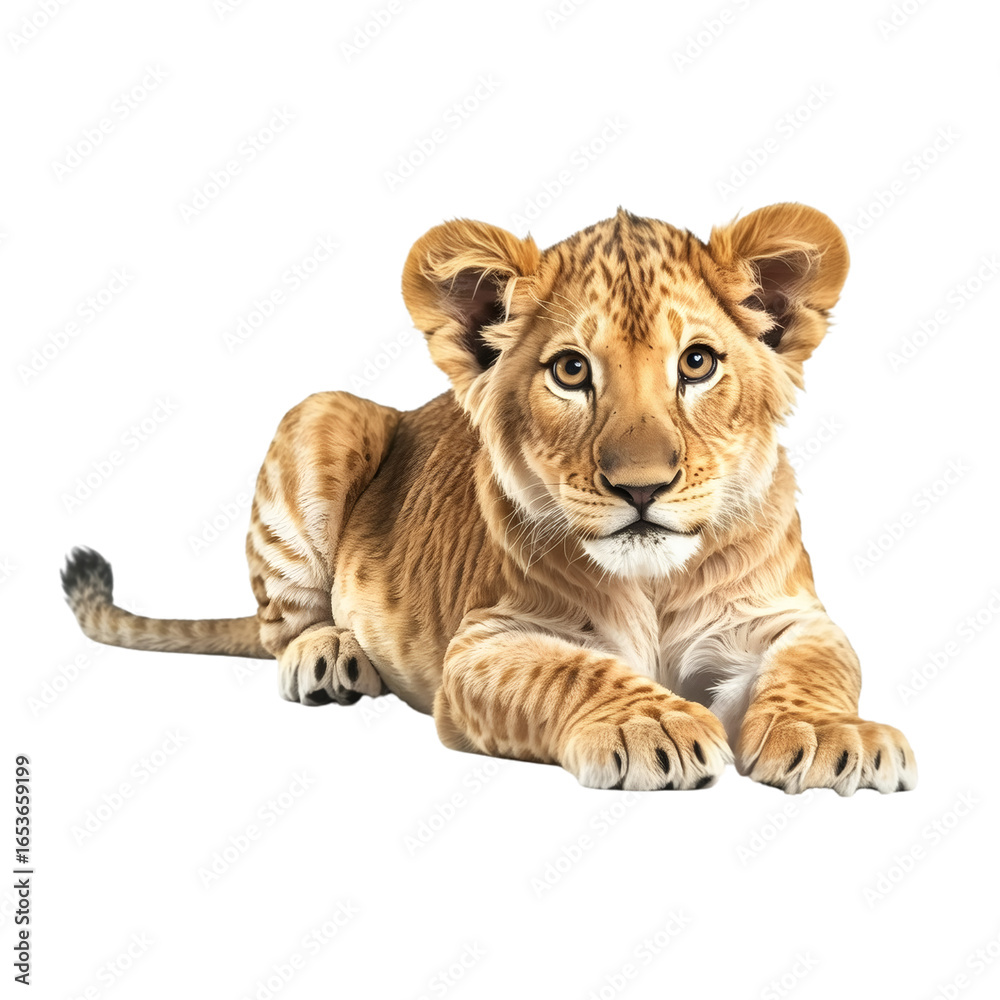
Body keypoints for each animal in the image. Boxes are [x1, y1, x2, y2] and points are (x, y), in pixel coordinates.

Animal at [62, 203, 916, 794]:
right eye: (571, 371)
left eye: (697, 363)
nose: (641, 487)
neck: (654, 584)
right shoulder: (483, 646)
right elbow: (576, 672)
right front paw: (653, 722)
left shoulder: (783, 616)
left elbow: (821, 663)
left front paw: (836, 737)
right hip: (323, 412)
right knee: (282, 627)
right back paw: (330, 656)